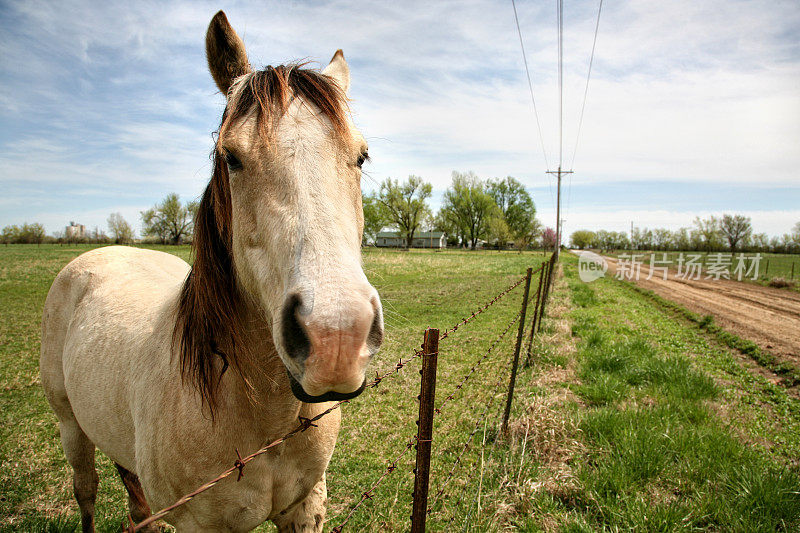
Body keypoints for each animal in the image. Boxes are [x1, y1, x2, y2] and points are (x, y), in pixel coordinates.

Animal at [40, 10, 384, 528]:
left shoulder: (306, 504)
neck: (260, 416)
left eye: (360, 156)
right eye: (232, 158)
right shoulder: (198, 524)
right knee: (87, 492)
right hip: (70, 427)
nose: (337, 338)